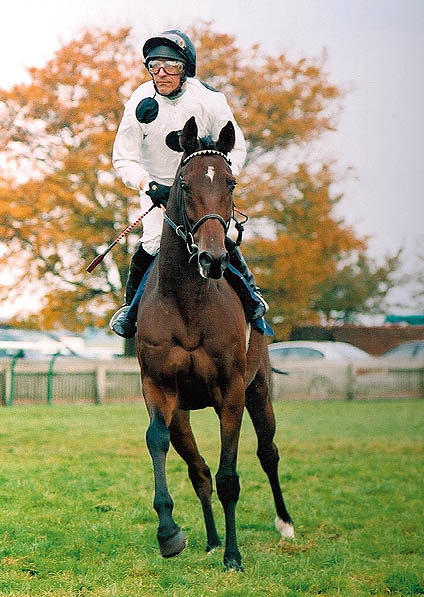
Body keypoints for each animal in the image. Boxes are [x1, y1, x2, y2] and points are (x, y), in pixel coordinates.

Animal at [137, 115, 294, 568]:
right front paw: (169, 533)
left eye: (231, 182)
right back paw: (209, 539)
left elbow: (230, 476)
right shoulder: (159, 387)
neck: (189, 300)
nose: (213, 257)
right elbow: (160, 442)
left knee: (268, 452)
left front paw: (234, 556)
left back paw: (284, 524)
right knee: (199, 471)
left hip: (259, 389)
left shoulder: (231, 392)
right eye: (184, 184)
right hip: (185, 411)